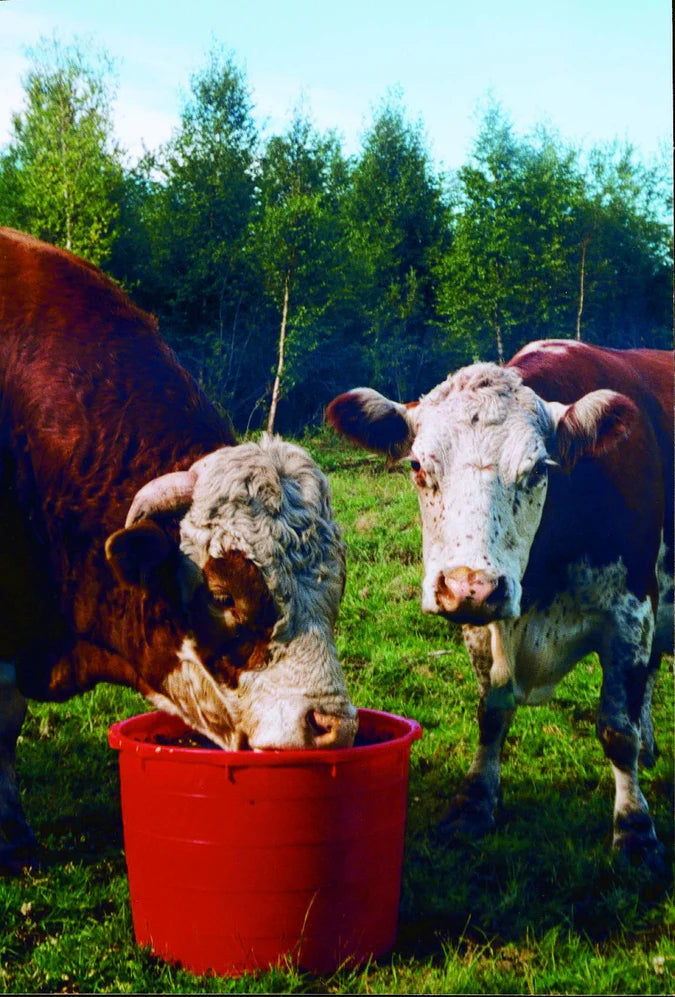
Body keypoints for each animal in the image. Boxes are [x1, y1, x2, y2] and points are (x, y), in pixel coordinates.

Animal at [327, 339, 673, 871]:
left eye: (538, 470)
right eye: (417, 466)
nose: (470, 586)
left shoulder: (632, 616)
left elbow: (618, 730)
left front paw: (635, 830)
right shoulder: (480, 625)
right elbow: (491, 713)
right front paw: (474, 803)